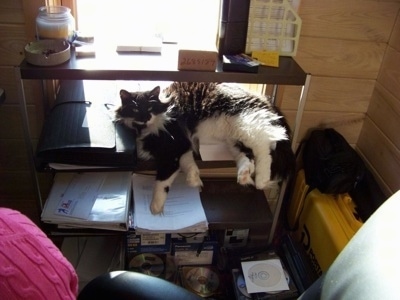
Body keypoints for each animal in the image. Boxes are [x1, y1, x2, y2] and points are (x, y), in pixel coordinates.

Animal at [115, 81, 294, 214]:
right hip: (235, 137)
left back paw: (261, 181)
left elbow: (161, 183)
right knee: (247, 156)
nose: (145, 117)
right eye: (135, 109)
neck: (143, 131)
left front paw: (155, 207)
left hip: (246, 124)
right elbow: (189, 164)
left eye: (150, 108)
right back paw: (243, 175)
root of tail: (264, 99)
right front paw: (194, 180)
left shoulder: (172, 152)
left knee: (265, 149)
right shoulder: (183, 146)